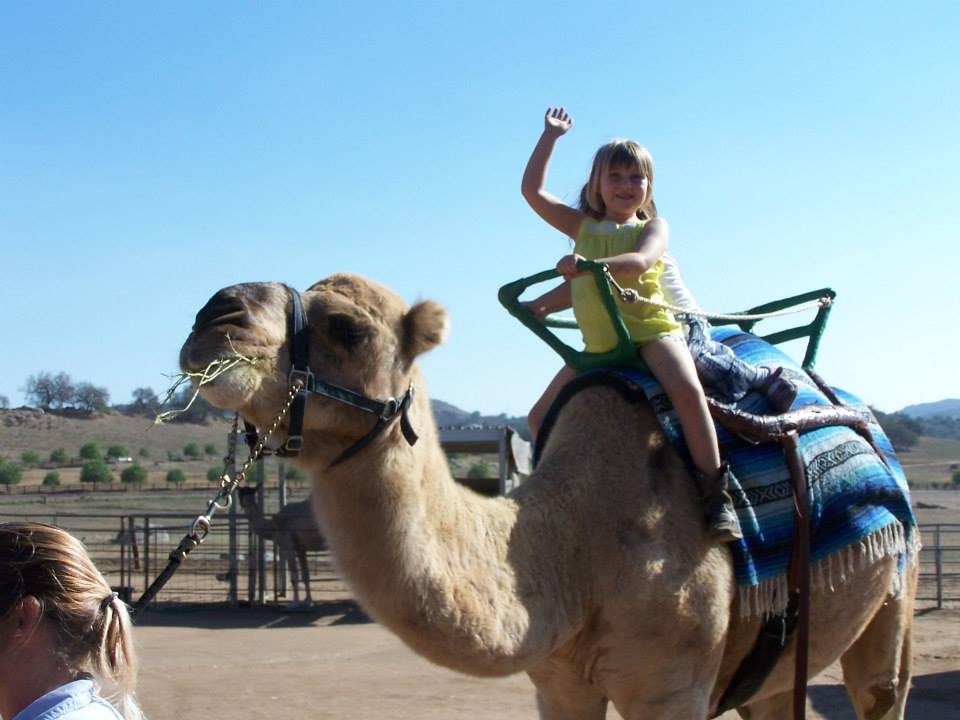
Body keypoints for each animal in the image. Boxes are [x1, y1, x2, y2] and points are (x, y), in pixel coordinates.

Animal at [179, 274, 918, 719]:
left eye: (349, 328)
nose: (214, 315)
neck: (575, 549)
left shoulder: (672, 690)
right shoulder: (559, 684)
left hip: (896, 586)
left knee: (880, 689)